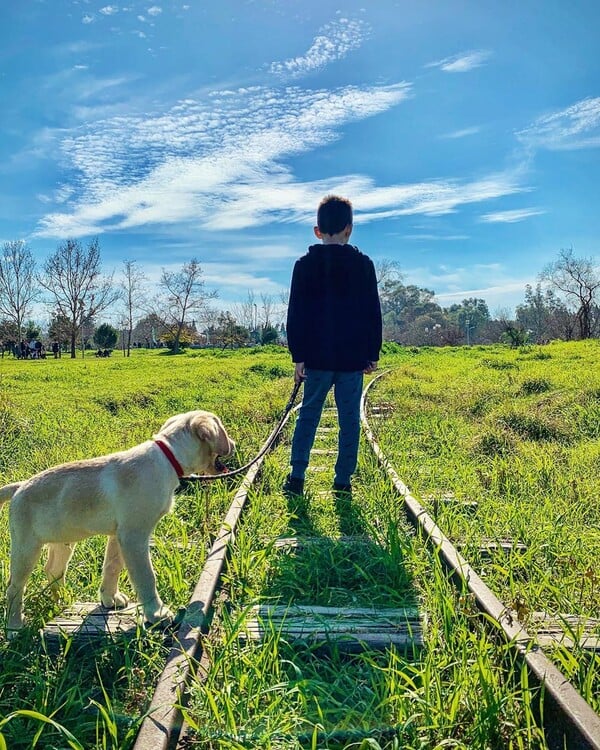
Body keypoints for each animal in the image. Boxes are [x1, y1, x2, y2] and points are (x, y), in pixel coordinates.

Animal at [0, 414, 234, 636]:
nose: (232, 443)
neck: (168, 456)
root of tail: (19, 487)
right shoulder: (133, 536)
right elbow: (146, 577)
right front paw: (156, 613)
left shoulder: (118, 535)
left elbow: (112, 567)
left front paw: (110, 599)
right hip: (26, 548)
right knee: (14, 588)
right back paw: (14, 627)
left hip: (62, 542)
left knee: (53, 571)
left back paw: (62, 600)